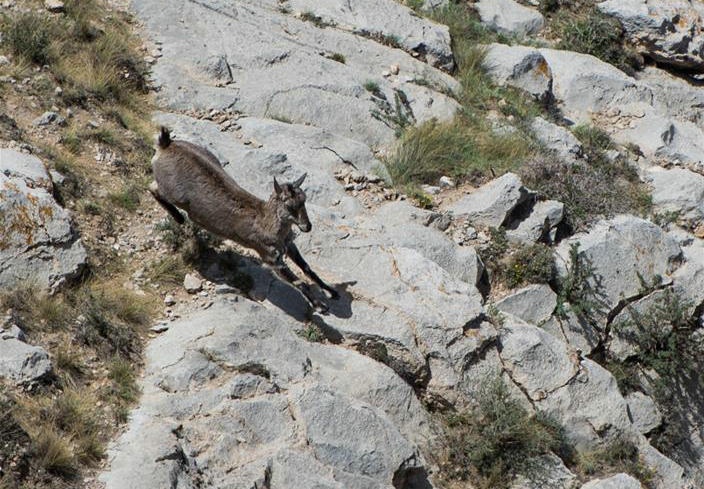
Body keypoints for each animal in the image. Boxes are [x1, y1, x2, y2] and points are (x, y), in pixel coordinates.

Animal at [151, 126, 340, 308]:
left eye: (304, 200)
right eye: (290, 206)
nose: (307, 227)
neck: (268, 223)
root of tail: (166, 145)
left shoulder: (288, 245)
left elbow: (307, 268)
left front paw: (332, 292)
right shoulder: (270, 256)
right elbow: (299, 282)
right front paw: (320, 305)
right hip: (174, 193)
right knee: (153, 187)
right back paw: (179, 218)